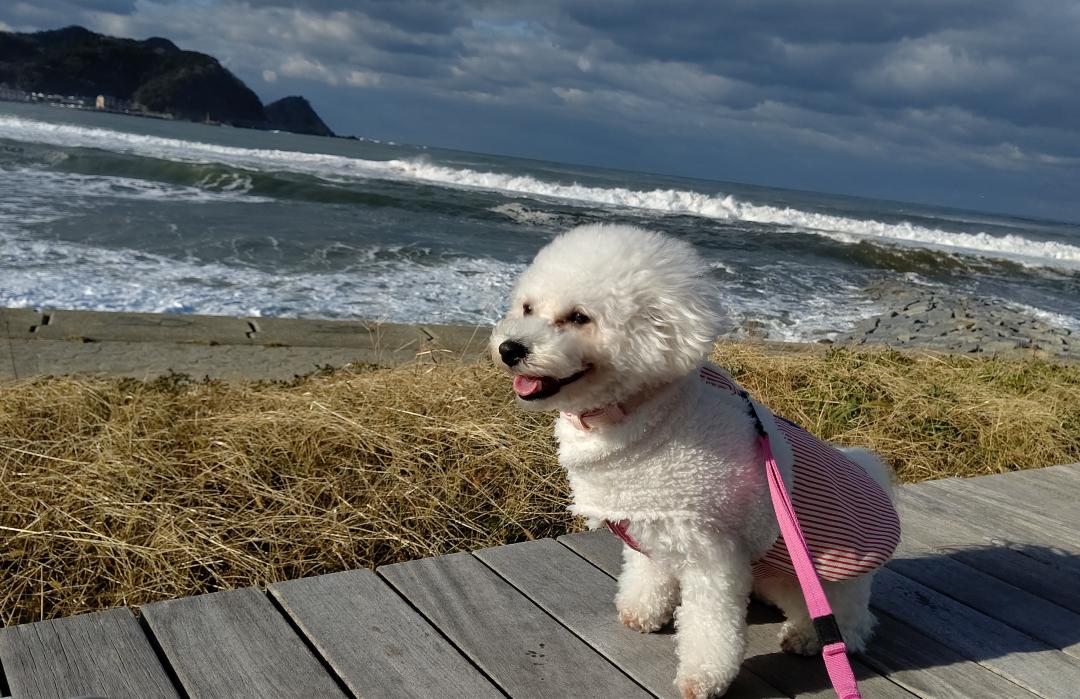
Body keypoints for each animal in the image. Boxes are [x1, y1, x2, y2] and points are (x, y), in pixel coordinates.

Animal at [490, 225, 894, 699]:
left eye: (578, 318)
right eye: (527, 308)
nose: (509, 348)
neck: (635, 412)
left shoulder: (712, 550)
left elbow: (710, 624)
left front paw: (703, 677)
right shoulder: (649, 518)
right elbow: (648, 573)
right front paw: (642, 611)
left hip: (827, 578)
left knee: (850, 623)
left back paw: (811, 636)